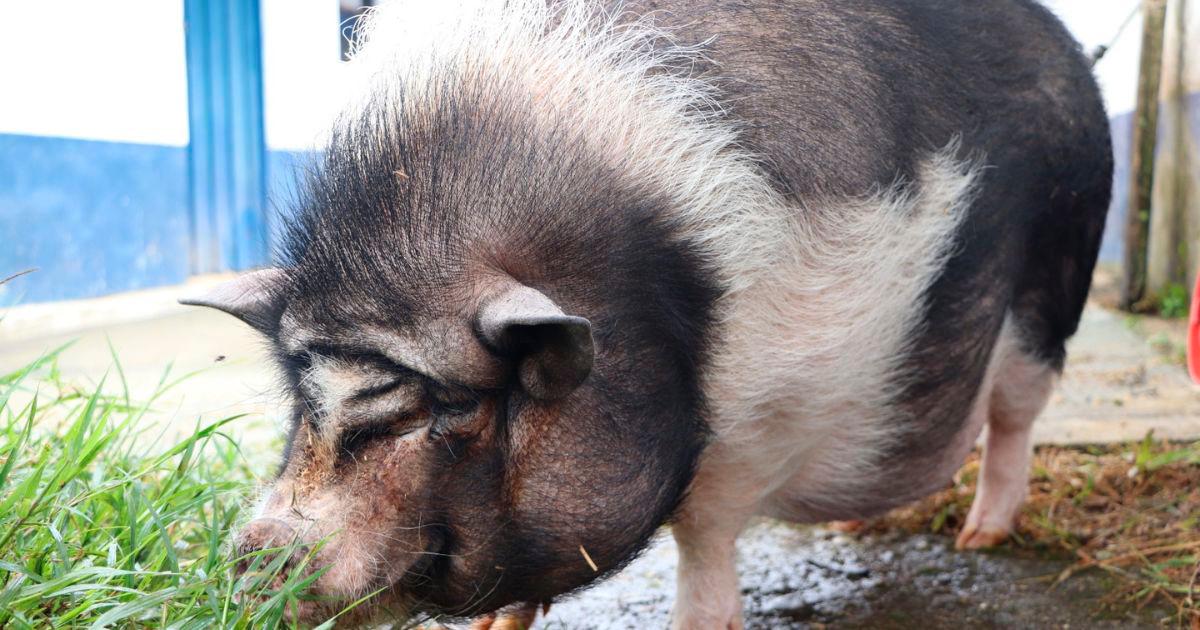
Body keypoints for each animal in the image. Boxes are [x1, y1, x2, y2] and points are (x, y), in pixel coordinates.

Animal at [183, 0, 1112, 627]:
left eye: (451, 408)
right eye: (301, 395)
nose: (256, 553)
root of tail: (1076, 50)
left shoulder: (759, 415)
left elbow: (704, 535)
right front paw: (494, 623)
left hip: (1054, 288)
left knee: (1015, 417)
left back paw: (982, 540)